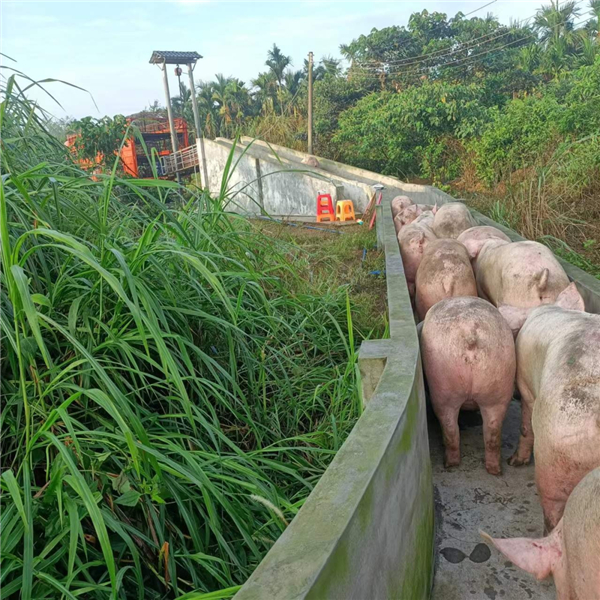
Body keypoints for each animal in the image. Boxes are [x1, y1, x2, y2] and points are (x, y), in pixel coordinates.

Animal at [418, 298, 516, 476]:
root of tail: (470, 334)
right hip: (498, 388)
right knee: (492, 433)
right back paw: (495, 470)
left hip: (443, 390)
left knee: (449, 428)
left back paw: (449, 464)